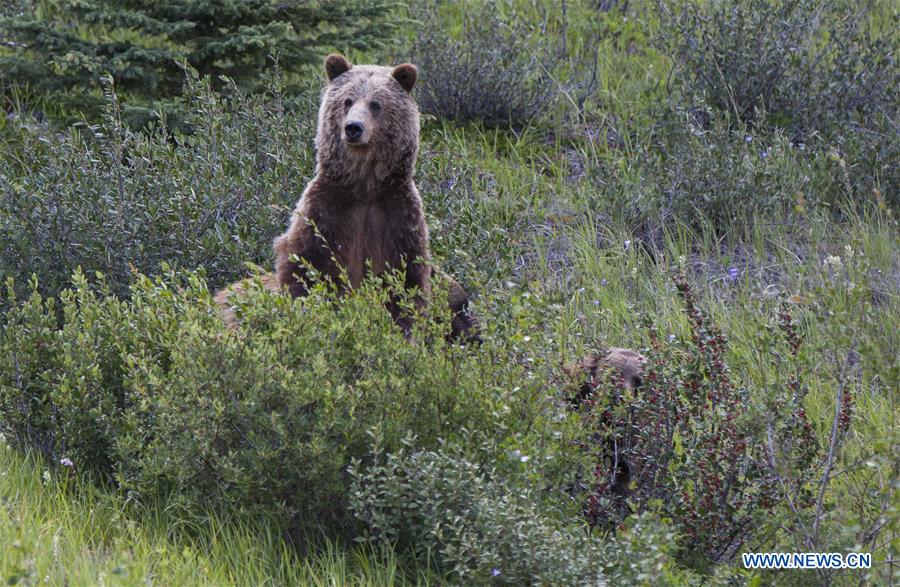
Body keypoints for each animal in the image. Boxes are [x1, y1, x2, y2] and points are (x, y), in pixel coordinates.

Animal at [213, 54, 478, 342]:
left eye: (375, 104)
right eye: (347, 100)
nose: (353, 128)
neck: (364, 186)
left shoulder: (397, 215)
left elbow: (406, 280)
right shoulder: (326, 212)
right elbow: (305, 267)